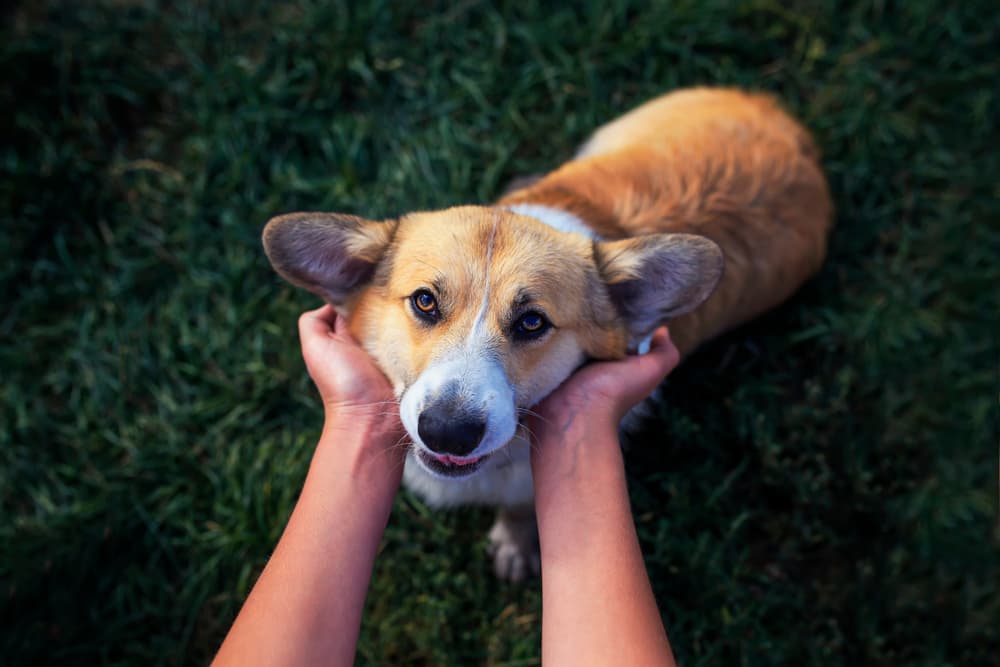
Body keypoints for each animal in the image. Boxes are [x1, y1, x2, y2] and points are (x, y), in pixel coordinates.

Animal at [262, 87, 832, 580]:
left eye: (532, 322)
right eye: (424, 301)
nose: (447, 431)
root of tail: (788, 124)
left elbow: (519, 511)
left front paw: (515, 547)